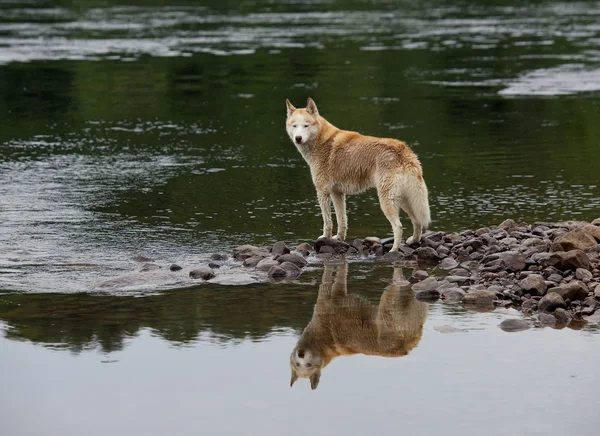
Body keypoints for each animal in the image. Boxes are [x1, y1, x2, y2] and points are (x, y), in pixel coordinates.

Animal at [286, 97, 432, 250]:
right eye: (294, 126)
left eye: (306, 125)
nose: (298, 138)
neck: (322, 141)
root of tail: (404, 151)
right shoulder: (337, 193)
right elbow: (342, 220)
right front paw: (339, 239)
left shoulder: (322, 192)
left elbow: (327, 222)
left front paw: (325, 238)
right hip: (404, 200)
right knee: (417, 222)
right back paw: (413, 241)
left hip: (387, 201)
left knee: (398, 226)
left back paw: (394, 250)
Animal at [290, 264, 426, 390]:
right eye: (297, 364)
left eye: (308, 365)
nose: (300, 354)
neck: (322, 345)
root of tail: (407, 346)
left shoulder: (327, 297)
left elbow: (331, 275)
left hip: (387, 304)